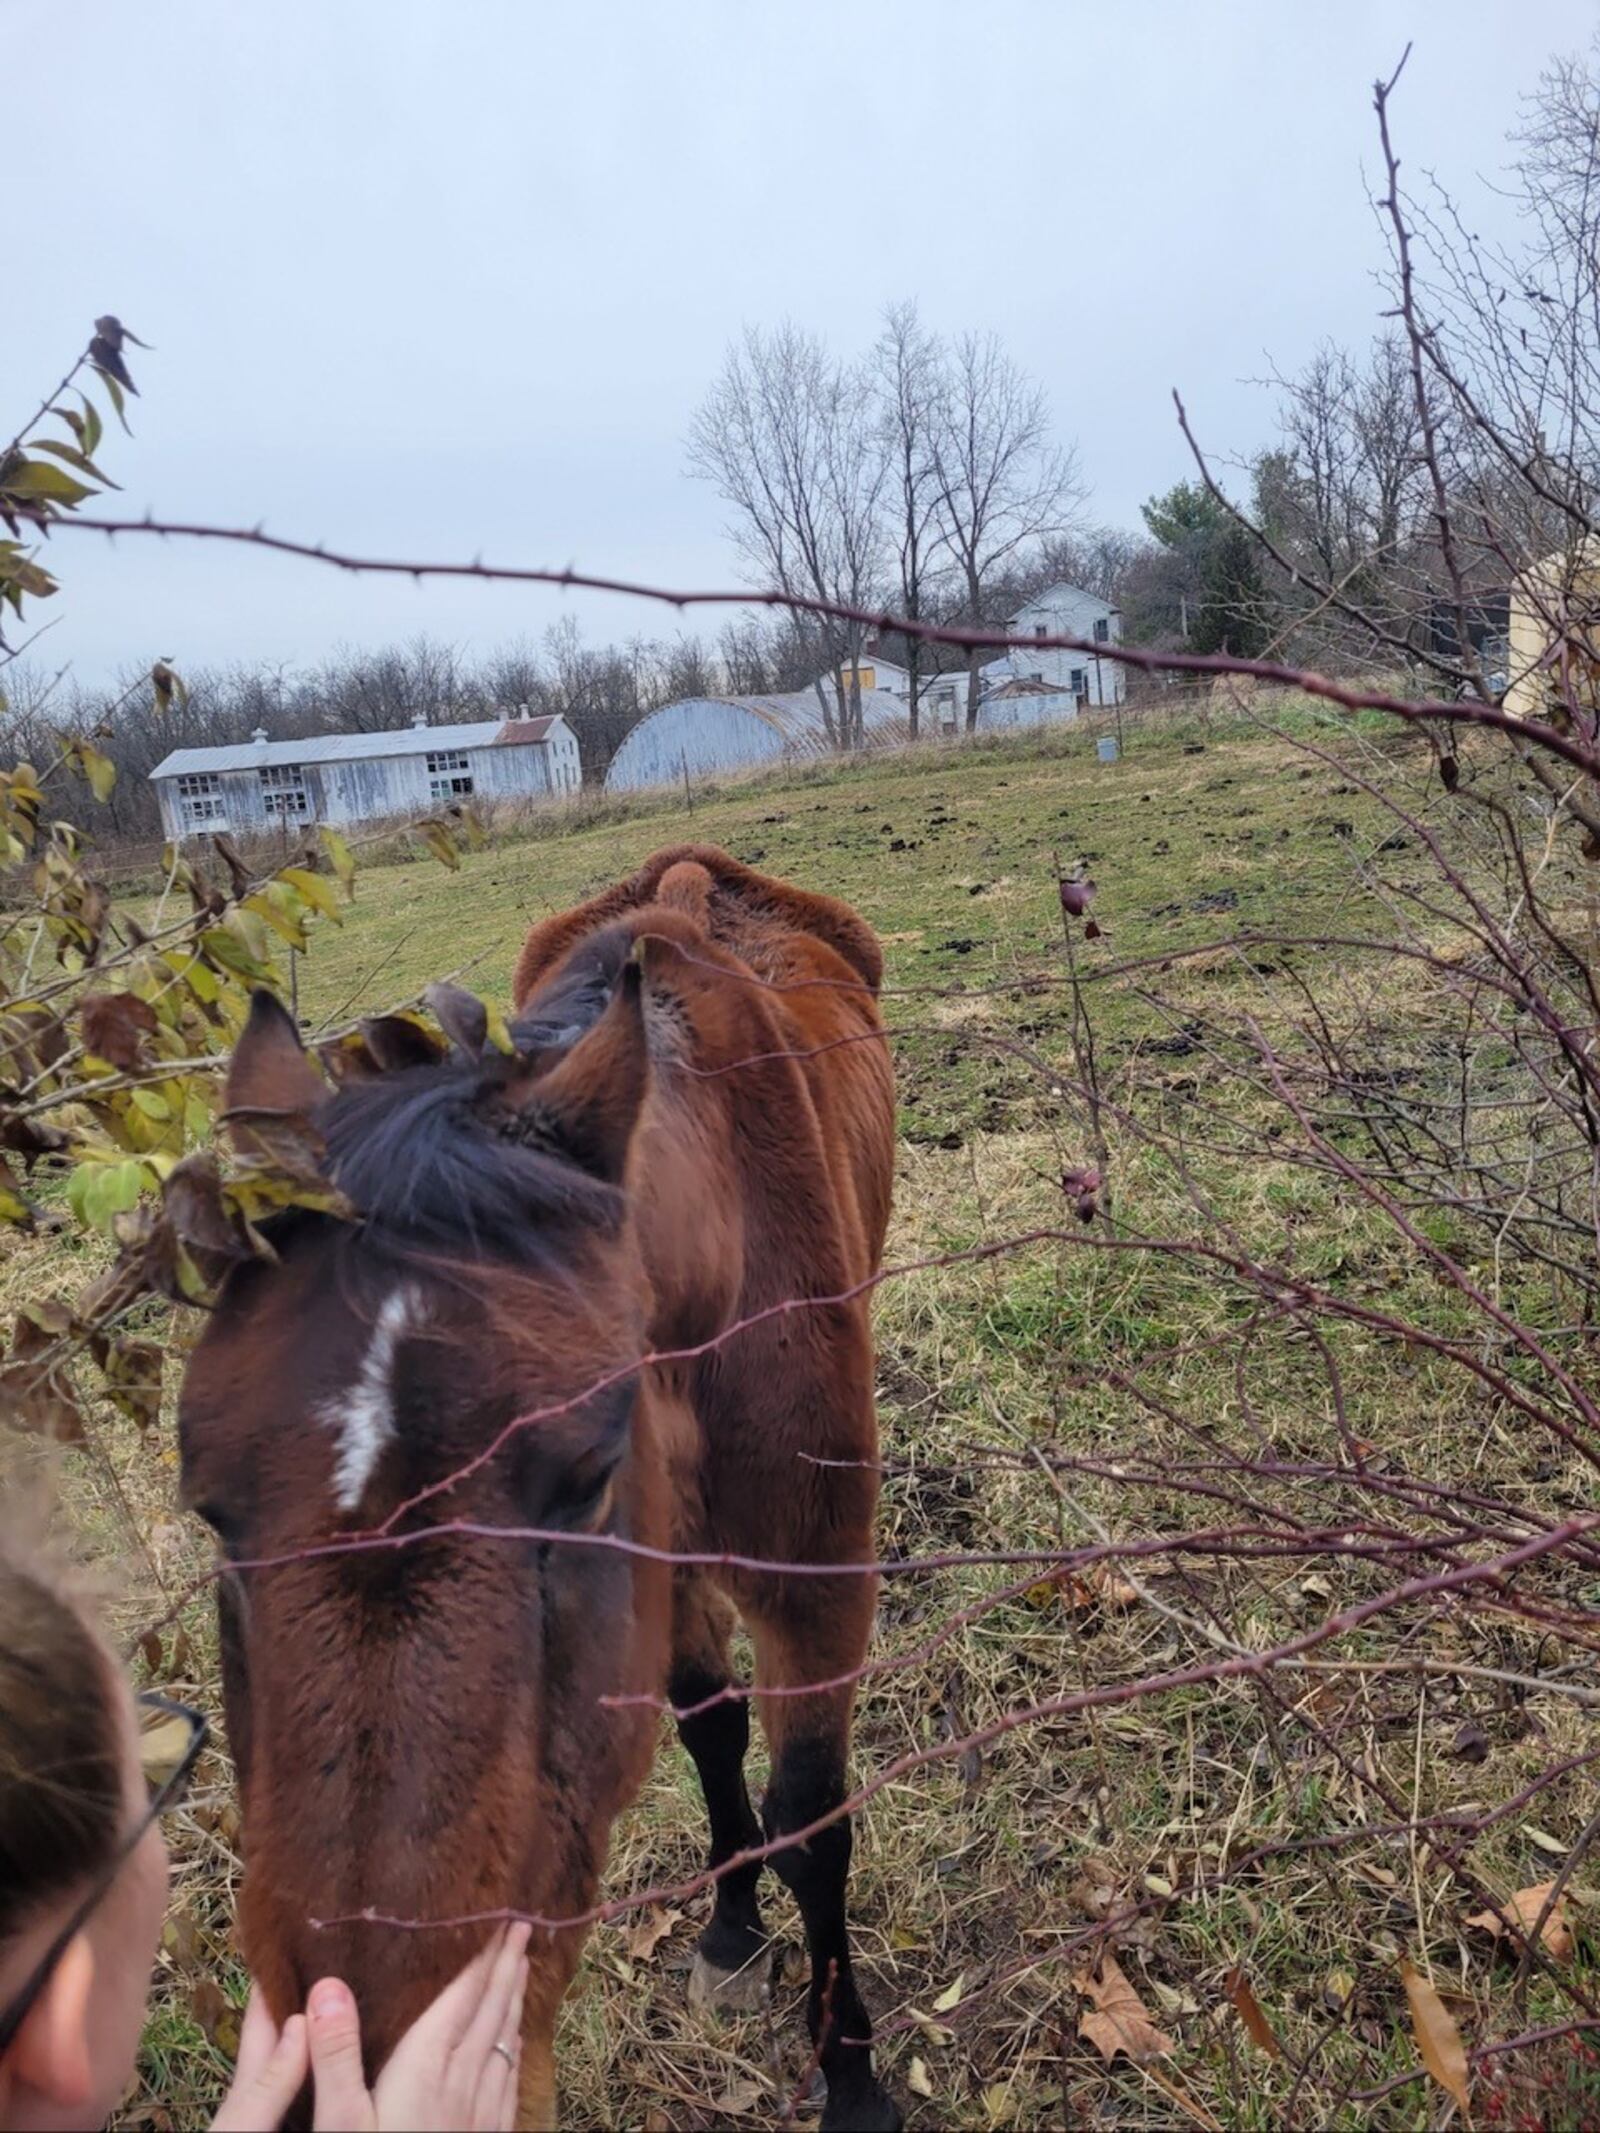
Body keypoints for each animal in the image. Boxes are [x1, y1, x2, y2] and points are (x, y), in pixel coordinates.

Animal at [183, 848, 908, 2133]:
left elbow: (812, 1822)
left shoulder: (816, 1584)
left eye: (585, 1478)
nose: (362, 2063)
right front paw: (730, 1932)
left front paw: (854, 2079)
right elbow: (710, 1730)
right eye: (212, 1509)